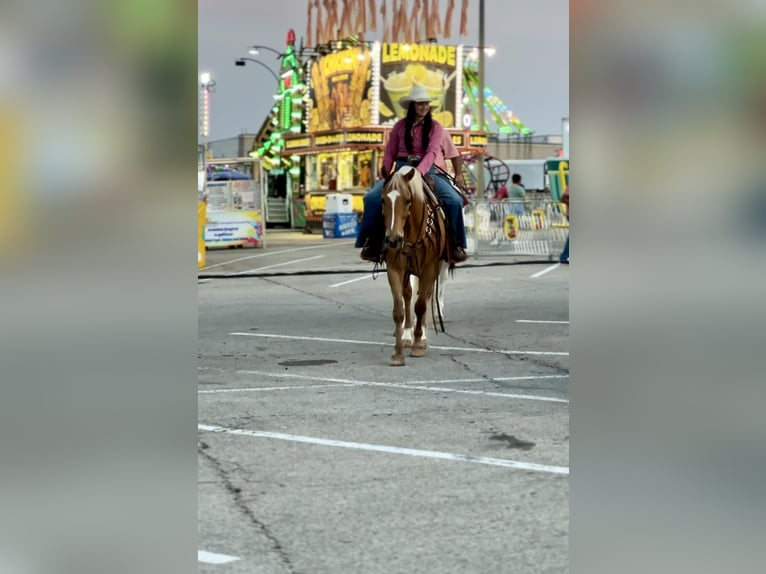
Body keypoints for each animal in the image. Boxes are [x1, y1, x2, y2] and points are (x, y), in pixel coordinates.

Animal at [382, 164, 450, 366]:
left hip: (438, 267)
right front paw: (398, 351)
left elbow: (421, 305)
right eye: (382, 200)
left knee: (427, 296)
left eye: (408, 200)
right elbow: (399, 309)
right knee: (410, 295)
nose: (393, 240)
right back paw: (407, 335)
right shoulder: (395, 269)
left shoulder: (429, 267)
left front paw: (419, 344)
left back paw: (423, 334)